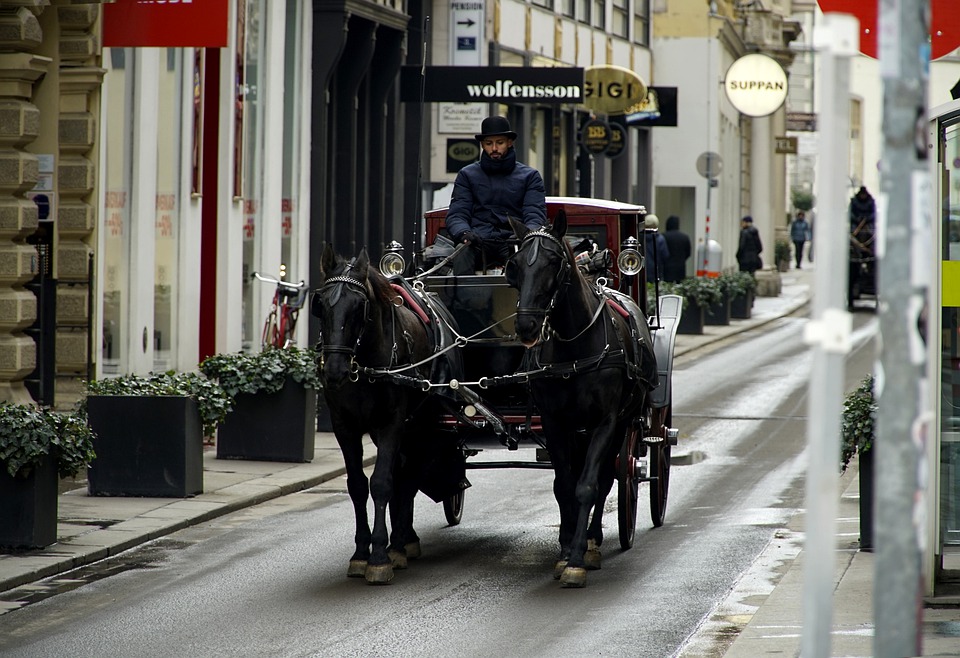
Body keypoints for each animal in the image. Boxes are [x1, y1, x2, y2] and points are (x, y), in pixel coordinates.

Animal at [316, 243, 458, 580]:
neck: (365, 364)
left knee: (409, 476)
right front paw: (360, 552)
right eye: (321, 305)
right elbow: (357, 485)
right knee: (404, 476)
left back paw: (400, 543)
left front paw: (380, 555)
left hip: (420, 426)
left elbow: (382, 483)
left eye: (360, 307)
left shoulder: (392, 423)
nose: (335, 371)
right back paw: (404, 540)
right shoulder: (345, 426)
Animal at [506, 209, 656, 584]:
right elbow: (564, 485)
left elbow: (588, 485)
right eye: (515, 264)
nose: (526, 326)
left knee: (606, 479)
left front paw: (576, 557)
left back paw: (592, 541)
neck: (574, 347)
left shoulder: (606, 422)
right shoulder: (555, 423)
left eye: (554, 261)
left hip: (621, 424)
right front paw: (563, 552)